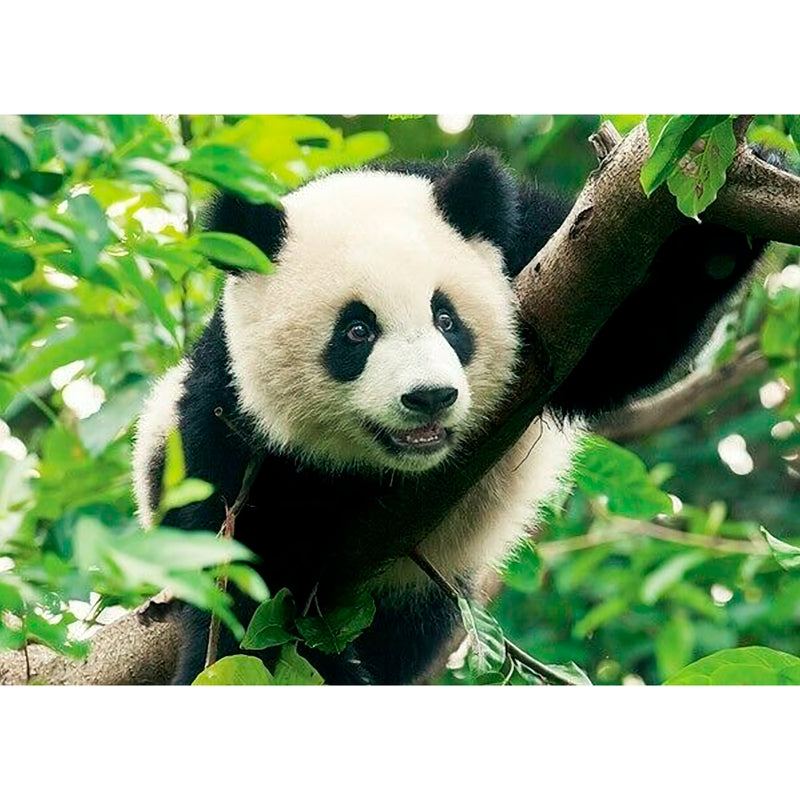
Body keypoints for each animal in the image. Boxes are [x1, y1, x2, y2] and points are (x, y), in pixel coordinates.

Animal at [133, 149, 766, 685]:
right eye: (356, 331)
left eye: (446, 318)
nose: (429, 397)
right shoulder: (228, 425)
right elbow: (249, 588)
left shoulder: (535, 248)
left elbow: (620, 341)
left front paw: (727, 211)